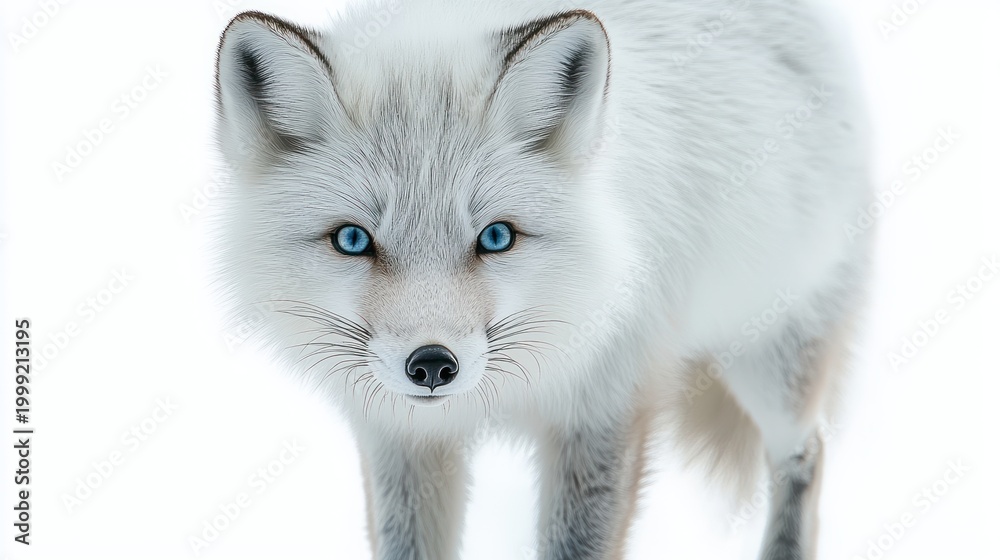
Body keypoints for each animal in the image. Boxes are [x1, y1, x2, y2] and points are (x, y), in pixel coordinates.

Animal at [211, 0, 870, 558]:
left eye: (496, 237)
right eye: (353, 240)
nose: (432, 365)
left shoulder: (604, 406)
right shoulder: (402, 436)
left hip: (772, 367)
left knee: (805, 453)